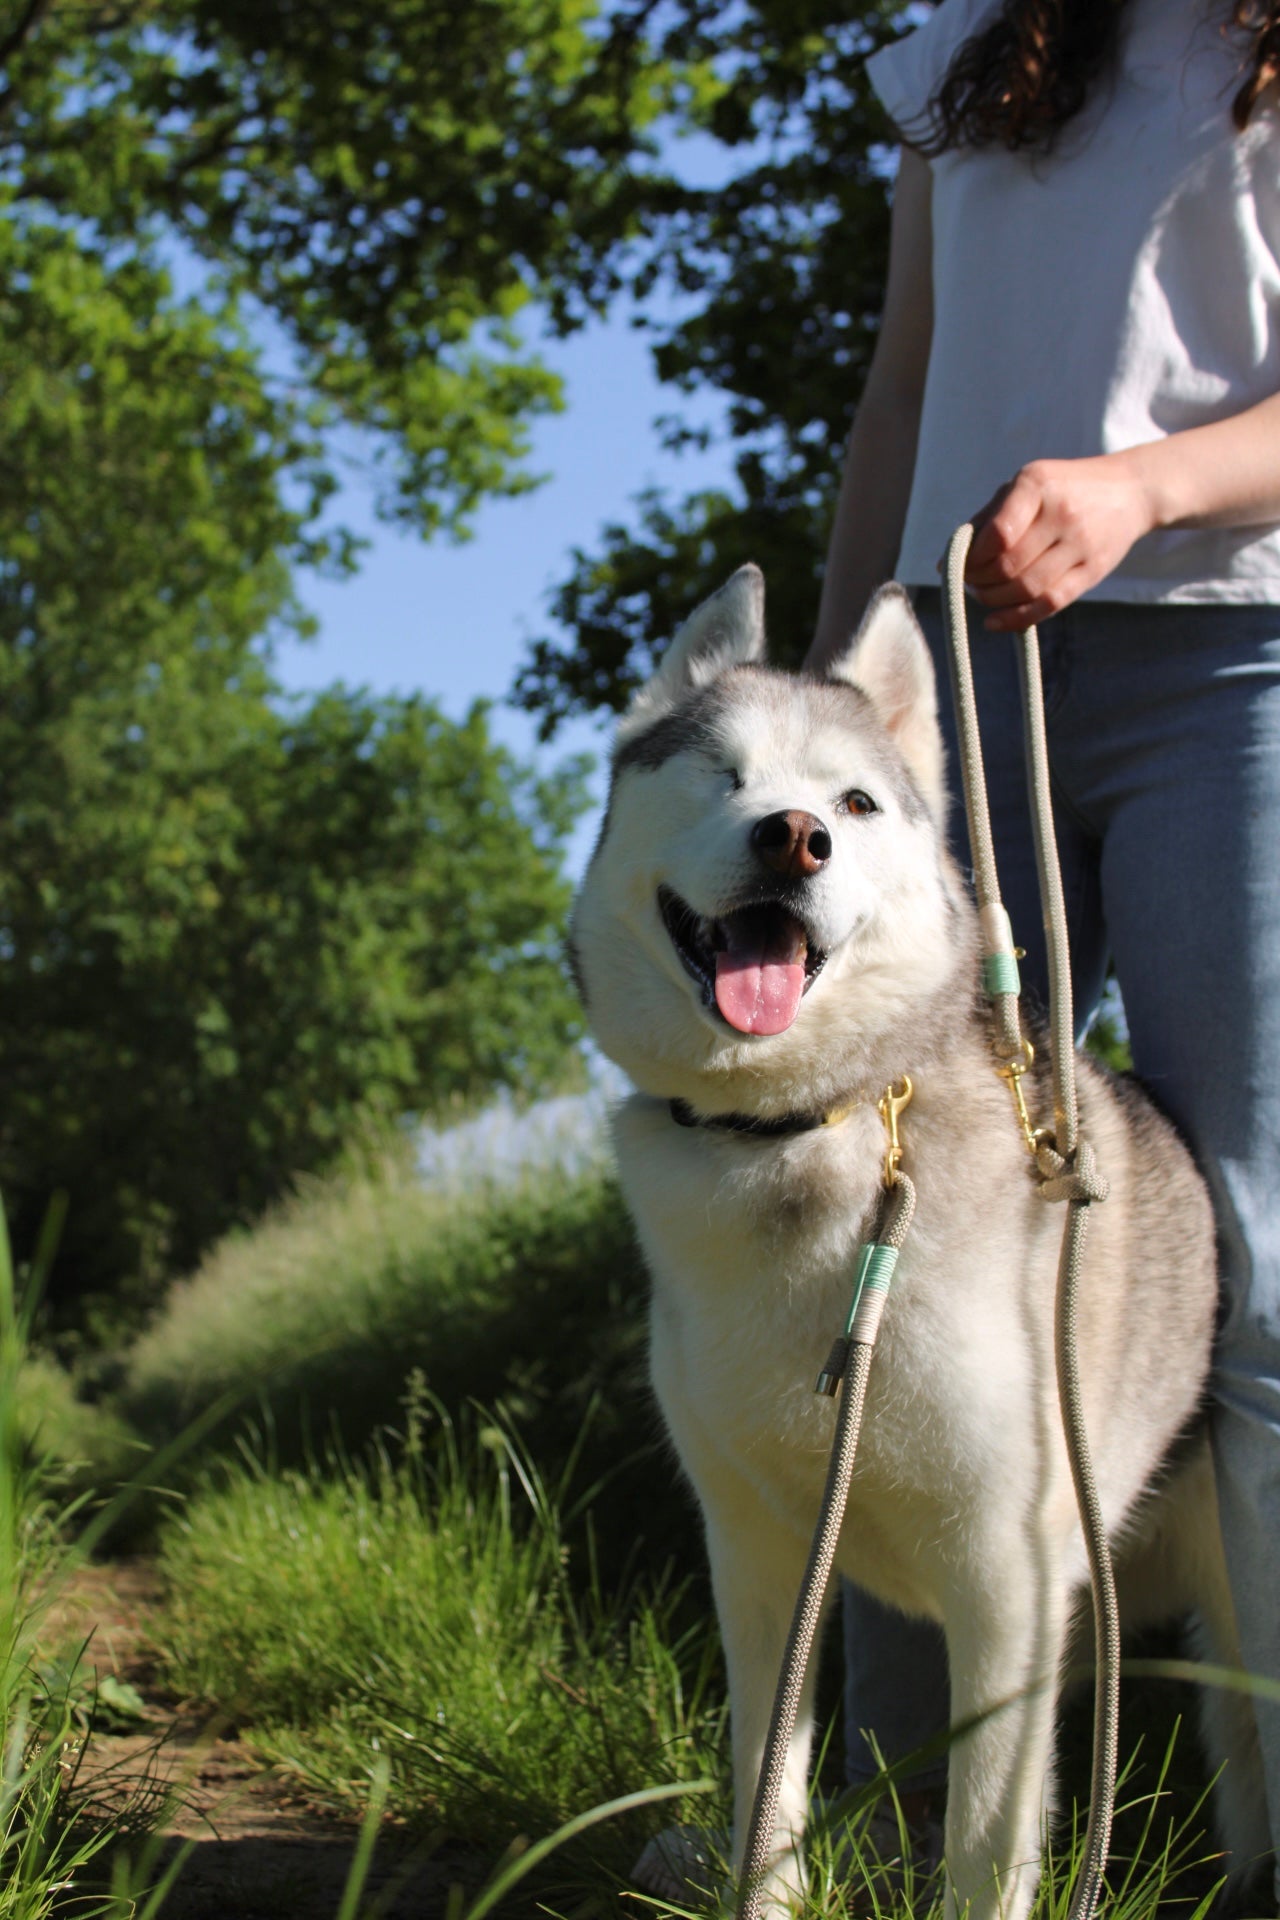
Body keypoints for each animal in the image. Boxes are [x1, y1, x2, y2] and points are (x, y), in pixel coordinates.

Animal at [571, 564, 1274, 1920]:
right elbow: (768, 1794)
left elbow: (989, 1849)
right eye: (722, 775)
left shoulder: (1008, 1582)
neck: (796, 1131)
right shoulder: (758, 1558)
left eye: (851, 802)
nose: (792, 835)